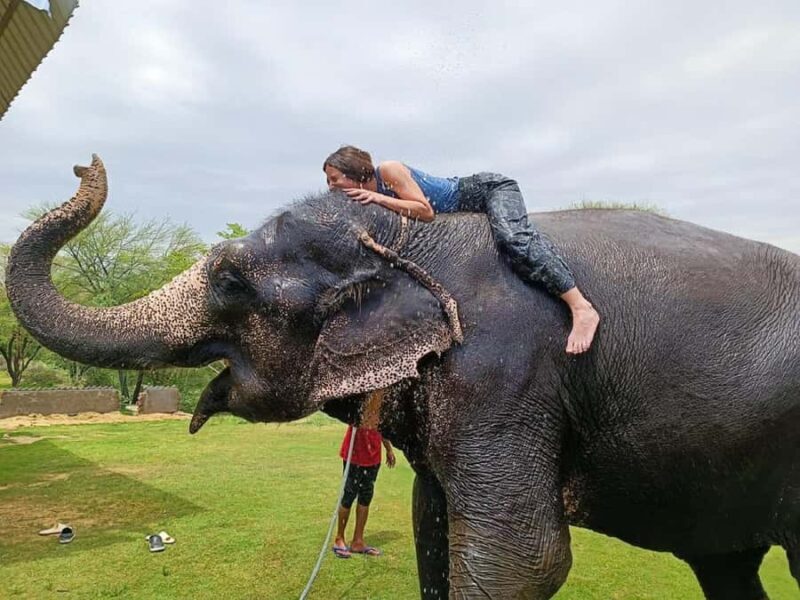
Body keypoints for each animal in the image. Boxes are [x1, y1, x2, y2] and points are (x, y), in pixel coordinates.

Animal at [6, 155, 800, 599]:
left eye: (230, 280)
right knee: (726, 566)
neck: (418, 240)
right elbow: (429, 524)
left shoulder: (503, 375)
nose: (84, 167)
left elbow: (524, 561)